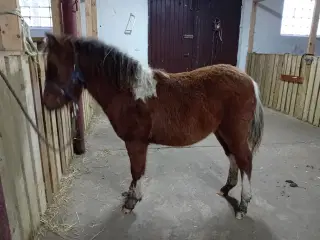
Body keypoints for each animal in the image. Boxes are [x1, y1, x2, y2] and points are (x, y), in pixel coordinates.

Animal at [41, 33, 264, 219]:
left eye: (54, 67)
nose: (46, 102)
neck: (128, 92)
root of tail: (250, 80)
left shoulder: (136, 142)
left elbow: (136, 170)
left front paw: (131, 202)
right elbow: (136, 171)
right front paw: (131, 196)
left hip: (234, 132)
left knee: (245, 161)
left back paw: (243, 205)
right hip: (222, 132)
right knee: (234, 157)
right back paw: (226, 189)